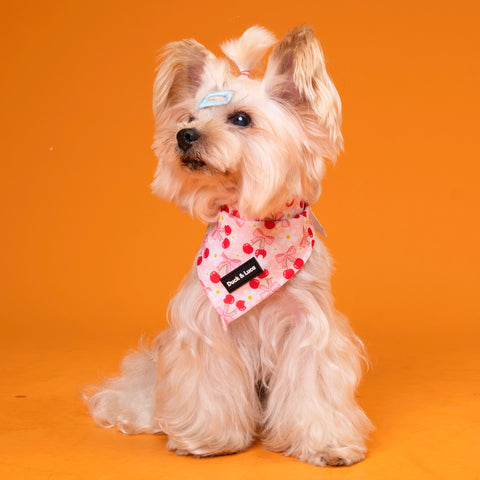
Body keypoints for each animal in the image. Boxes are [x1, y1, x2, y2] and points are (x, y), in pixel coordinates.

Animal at [85, 24, 372, 466]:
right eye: (189, 117)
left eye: (241, 119)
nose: (184, 135)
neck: (255, 230)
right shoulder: (206, 326)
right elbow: (209, 386)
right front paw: (207, 439)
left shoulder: (310, 329)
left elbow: (313, 390)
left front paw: (325, 443)